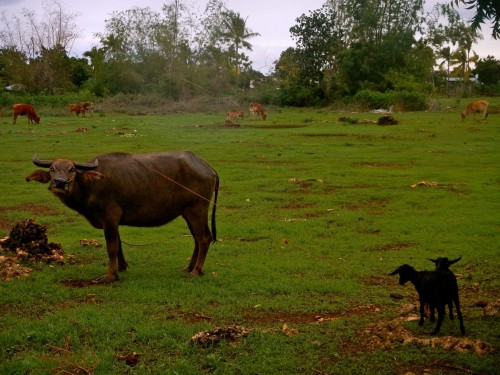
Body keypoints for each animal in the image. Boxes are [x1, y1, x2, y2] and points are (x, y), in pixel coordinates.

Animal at [24, 151, 218, 284]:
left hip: (197, 210)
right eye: (52, 169)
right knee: (196, 239)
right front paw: (122, 267)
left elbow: (111, 248)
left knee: (204, 238)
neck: (91, 185)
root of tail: (205, 166)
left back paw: (196, 271)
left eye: (72, 169)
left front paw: (110, 275)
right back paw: (189, 267)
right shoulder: (113, 222)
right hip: (187, 213)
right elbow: (119, 247)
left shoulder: (109, 219)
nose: (60, 182)